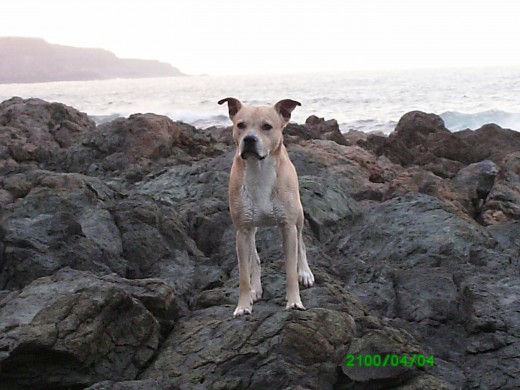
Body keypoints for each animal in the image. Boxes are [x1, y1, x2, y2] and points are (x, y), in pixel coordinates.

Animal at [217, 98, 314, 316]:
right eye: (240, 125)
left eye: (267, 127)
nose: (249, 139)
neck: (258, 169)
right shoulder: (242, 230)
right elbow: (244, 273)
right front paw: (243, 305)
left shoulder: (288, 227)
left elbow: (291, 269)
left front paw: (294, 302)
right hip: (251, 227)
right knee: (255, 257)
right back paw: (256, 289)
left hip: (299, 215)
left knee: (302, 243)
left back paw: (305, 272)